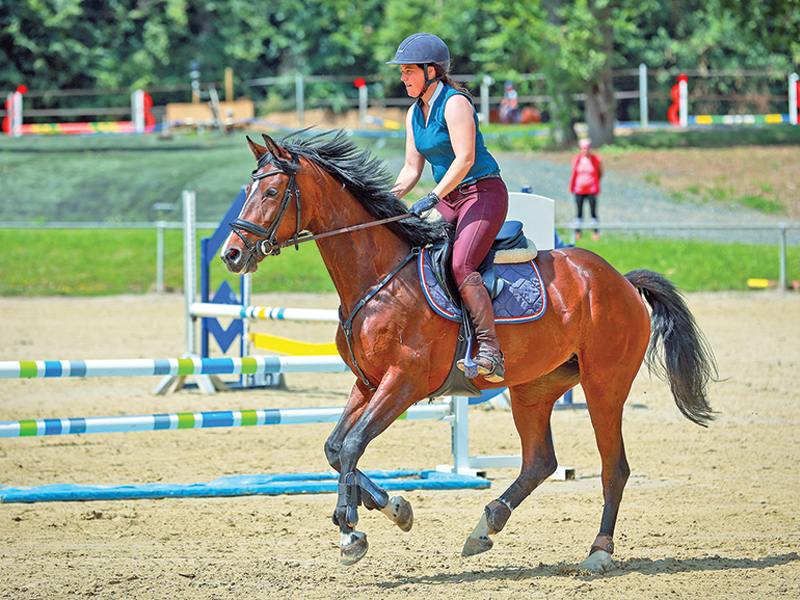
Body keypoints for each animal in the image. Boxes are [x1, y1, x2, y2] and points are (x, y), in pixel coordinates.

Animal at [220, 130, 717, 571]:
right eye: (247, 189)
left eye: (271, 190)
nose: (231, 255)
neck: (377, 278)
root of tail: (620, 281)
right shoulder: (368, 383)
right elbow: (335, 447)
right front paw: (393, 508)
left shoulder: (403, 383)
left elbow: (353, 446)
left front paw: (351, 530)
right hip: (534, 388)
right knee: (540, 461)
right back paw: (486, 524)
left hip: (604, 385)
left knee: (614, 467)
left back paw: (598, 553)